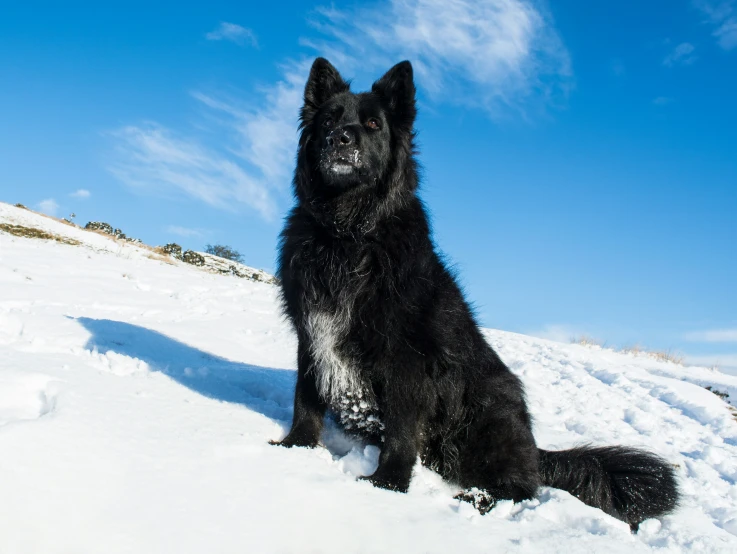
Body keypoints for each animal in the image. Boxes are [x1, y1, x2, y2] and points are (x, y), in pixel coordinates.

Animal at [272, 58, 680, 528]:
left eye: (373, 124)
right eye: (328, 121)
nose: (340, 138)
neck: (347, 233)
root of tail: (535, 448)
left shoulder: (407, 360)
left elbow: (401, 431)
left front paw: (387, 486)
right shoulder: (312, 333)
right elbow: (305, 399)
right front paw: (294, 448)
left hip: (487, 413)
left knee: (522, 485)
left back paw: (476, 498)